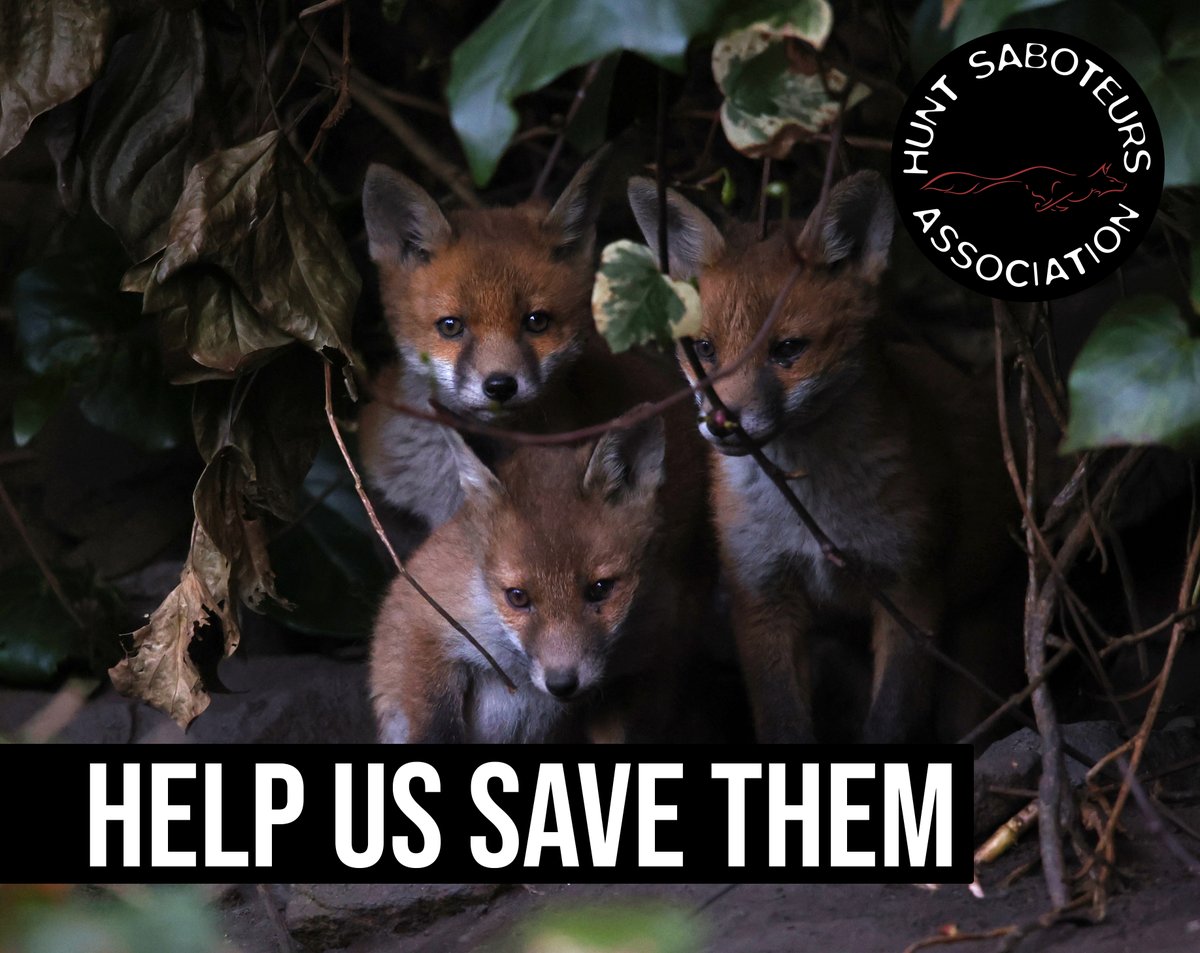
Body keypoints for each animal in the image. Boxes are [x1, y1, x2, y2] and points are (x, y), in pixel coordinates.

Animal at [370, 415, 708, 743]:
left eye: (600, 589)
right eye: (517, 597)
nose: (562, 683)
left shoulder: (639, 664)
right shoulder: (426, 614)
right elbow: (434, 723)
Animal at [628, 170, 1017, 744]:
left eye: (789, 349)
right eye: (703, 350)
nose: (722, 424)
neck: (812, 516)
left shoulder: (911, 588)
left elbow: (891, 721)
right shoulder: (760, 589)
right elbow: (782, 721)